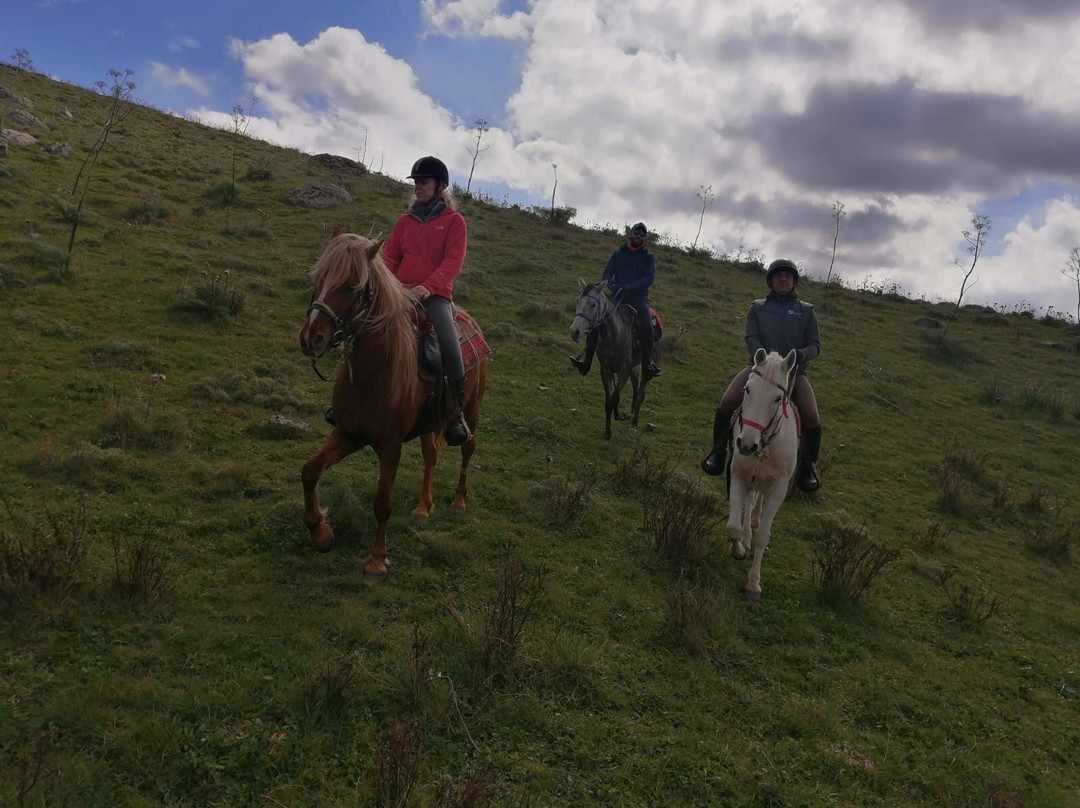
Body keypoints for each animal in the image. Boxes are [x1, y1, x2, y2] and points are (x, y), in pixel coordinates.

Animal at [298, 230, 488, 578]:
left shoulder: (390, 445)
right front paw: (320, 533)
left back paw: (458, 503)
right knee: (431, 457)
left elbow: (382, 504)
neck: (373, 373)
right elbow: (310, 471)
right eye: (317, 279)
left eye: (352, 286)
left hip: (471, 411)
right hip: (430, 425)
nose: (311, 338)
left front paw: (377, 561)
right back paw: (423, 508)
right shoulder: (349, 433)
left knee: (467, 448)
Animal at [565, 278, 648, 442]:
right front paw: (608, 431)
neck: (614, 336)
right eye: (578, 301)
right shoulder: (606, 370)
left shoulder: (624, 371)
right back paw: (631, 413)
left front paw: (619, 418)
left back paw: (634, 424)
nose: (575, 331)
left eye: (593, 304)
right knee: (636, 384)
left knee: (641, 392)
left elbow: (614, 398)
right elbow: (609, 401)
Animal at [730, 347, 799, 600]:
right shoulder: (738, 476)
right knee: (750, 503)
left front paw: (753, 583)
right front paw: (739, 549)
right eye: (747, 389)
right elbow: (733, 527)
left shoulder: (778, 488)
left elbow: (763, 536)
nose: (746, 445)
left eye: (778, 398)